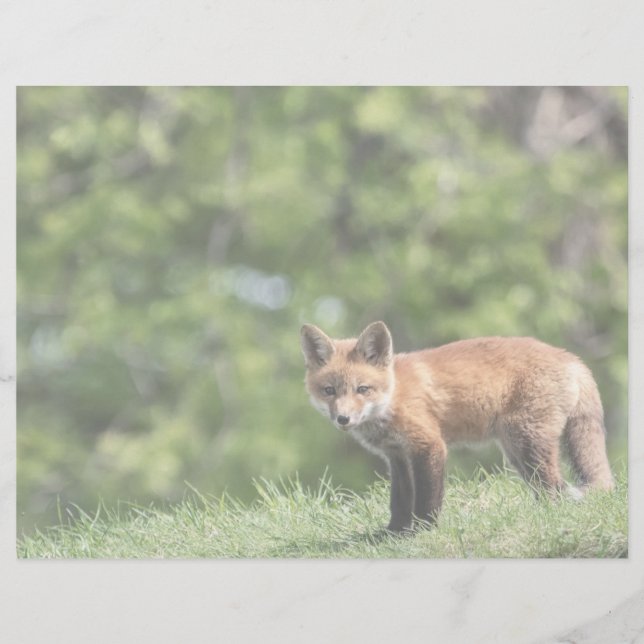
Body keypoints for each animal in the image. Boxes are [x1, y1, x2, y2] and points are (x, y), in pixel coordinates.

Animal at [301, 321, 614, 532]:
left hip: (527, 442)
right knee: (547, 487)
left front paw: (423, 531)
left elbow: (428, 497)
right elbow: (399, 500)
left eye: (362, 389)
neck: (393, 397)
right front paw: (393, 533)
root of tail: (571, 358)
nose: (343, 419)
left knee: (554, 488)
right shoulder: (397, 455)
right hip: (516, 451)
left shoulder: (429, 445)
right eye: (329, 391)